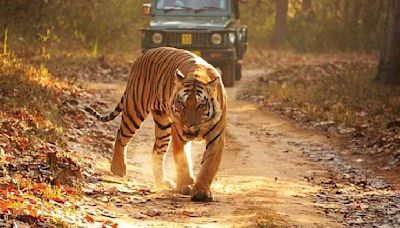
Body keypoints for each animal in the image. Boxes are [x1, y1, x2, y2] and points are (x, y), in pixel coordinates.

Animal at [85, 46, 227, 201]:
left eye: (200, 106)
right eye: (181, 104)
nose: (187, 125)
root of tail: (143, 55)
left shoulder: (216, 138)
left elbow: (208, 166)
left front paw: (201, 191)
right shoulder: (178, 134)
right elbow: (182, 160)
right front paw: (185, 185)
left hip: (163, 125)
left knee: (157, 151)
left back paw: (162, 181)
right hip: (135, 110)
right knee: (121, 135)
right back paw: (118, 169)